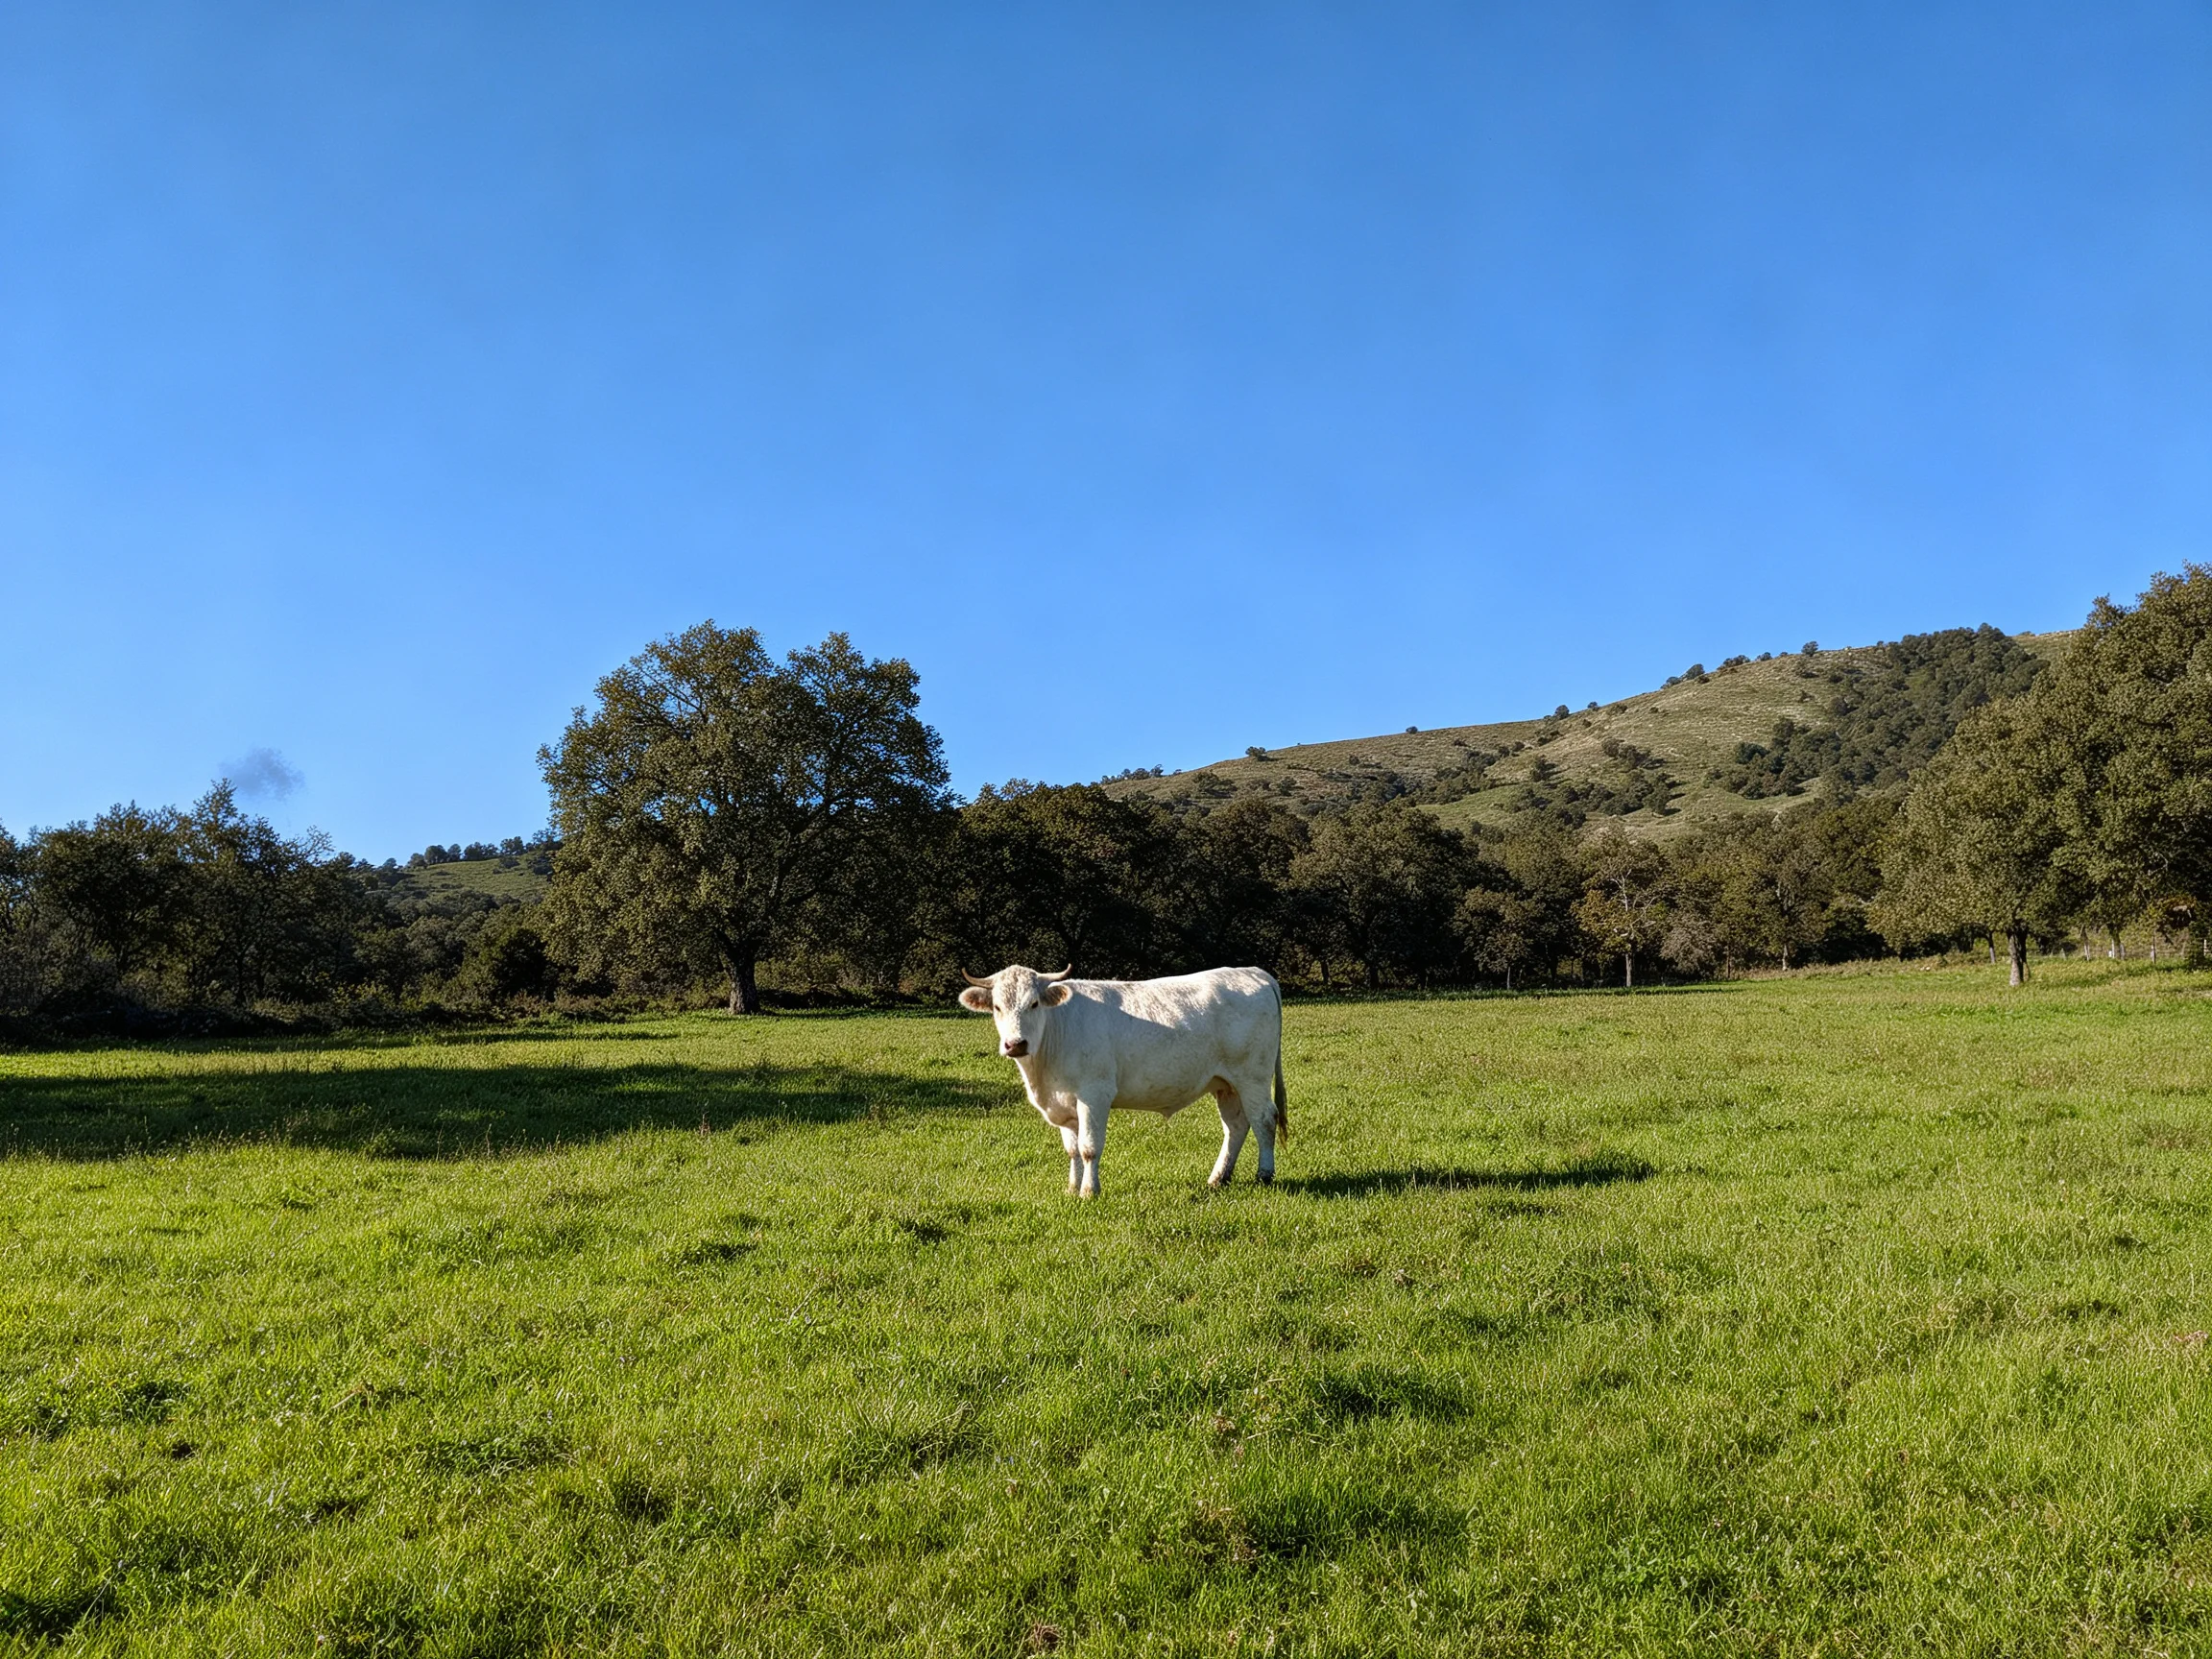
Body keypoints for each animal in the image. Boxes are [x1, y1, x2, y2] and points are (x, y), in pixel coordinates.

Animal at [957, 964, 1289, 1197]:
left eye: (1034, 1004)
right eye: (997, 1006)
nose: (1016, 1044)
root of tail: (1252, 971)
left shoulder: (1094, 1094)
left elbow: (1089, 1147)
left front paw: (1089, 1192)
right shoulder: (1064, 1104)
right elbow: (1073, 1149)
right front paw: (1072, 1188)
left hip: (1253, 1076)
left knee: (1264, 1119)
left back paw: (1264, 1175)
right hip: (1226, 1084)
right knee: (1235, 1126)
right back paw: (1218, 1178)